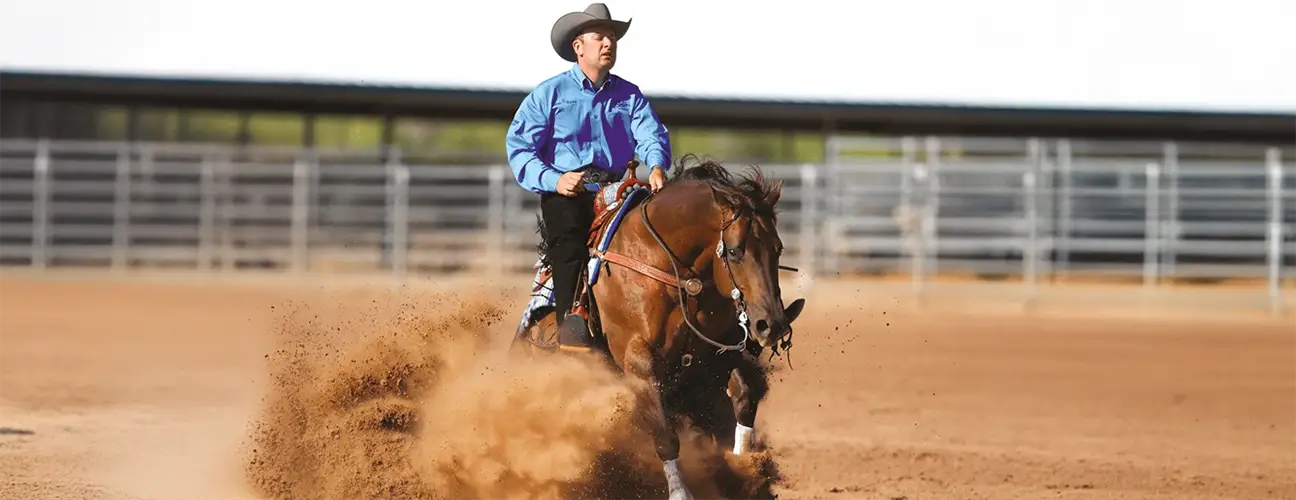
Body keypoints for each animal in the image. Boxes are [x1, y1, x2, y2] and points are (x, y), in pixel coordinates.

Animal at [510, 156, 807, 500]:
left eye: (778, 248)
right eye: (734, 251)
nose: (771, 325)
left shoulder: (714, 358)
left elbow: (743, 396)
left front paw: (745, 468)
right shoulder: (639, 361)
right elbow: (666, 436)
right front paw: (680, 491)